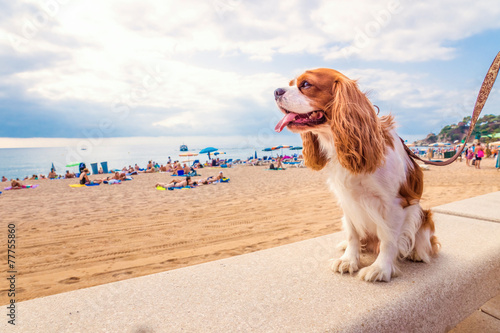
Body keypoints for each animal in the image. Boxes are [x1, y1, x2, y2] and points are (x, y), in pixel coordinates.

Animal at [274, 68, 442, 280]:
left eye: (305, 84)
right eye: (290, 83)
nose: (276, 91)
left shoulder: (395, 204)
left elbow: (388, 239)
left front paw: (380, 268)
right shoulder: (348, 201)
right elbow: (353, 234)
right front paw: (348, 260)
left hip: (422, 214)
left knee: (424, 240)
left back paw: (417, 253)